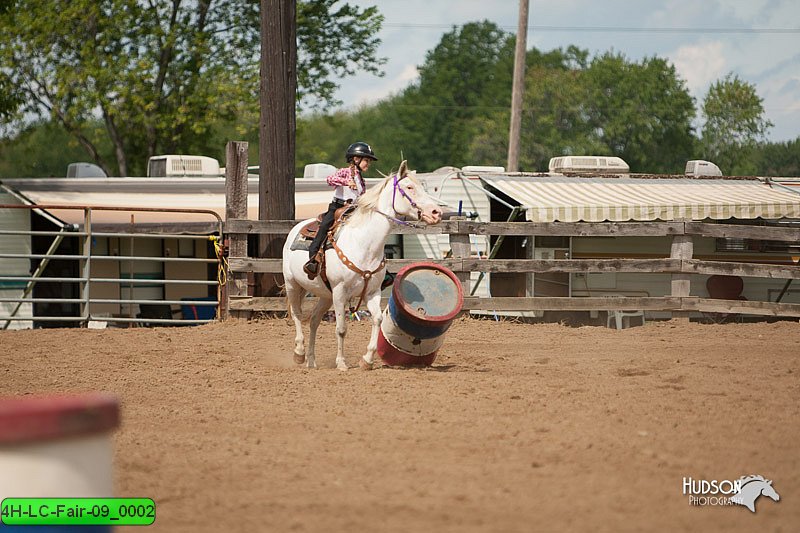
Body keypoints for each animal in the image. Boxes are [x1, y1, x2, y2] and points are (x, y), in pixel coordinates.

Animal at [282, 160, 444, 370]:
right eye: (409, 187)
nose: (436, 212)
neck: (364, 243)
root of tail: (295, 228)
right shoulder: (340, 292)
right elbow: (341, 329)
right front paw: (341, 363)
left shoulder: (372, 292)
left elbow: (378, 319)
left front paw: (366, 360)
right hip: (293, 284)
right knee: (297, 314)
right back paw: (300, 353)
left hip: (325, 294)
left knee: (314, 320)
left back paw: (311, 360)